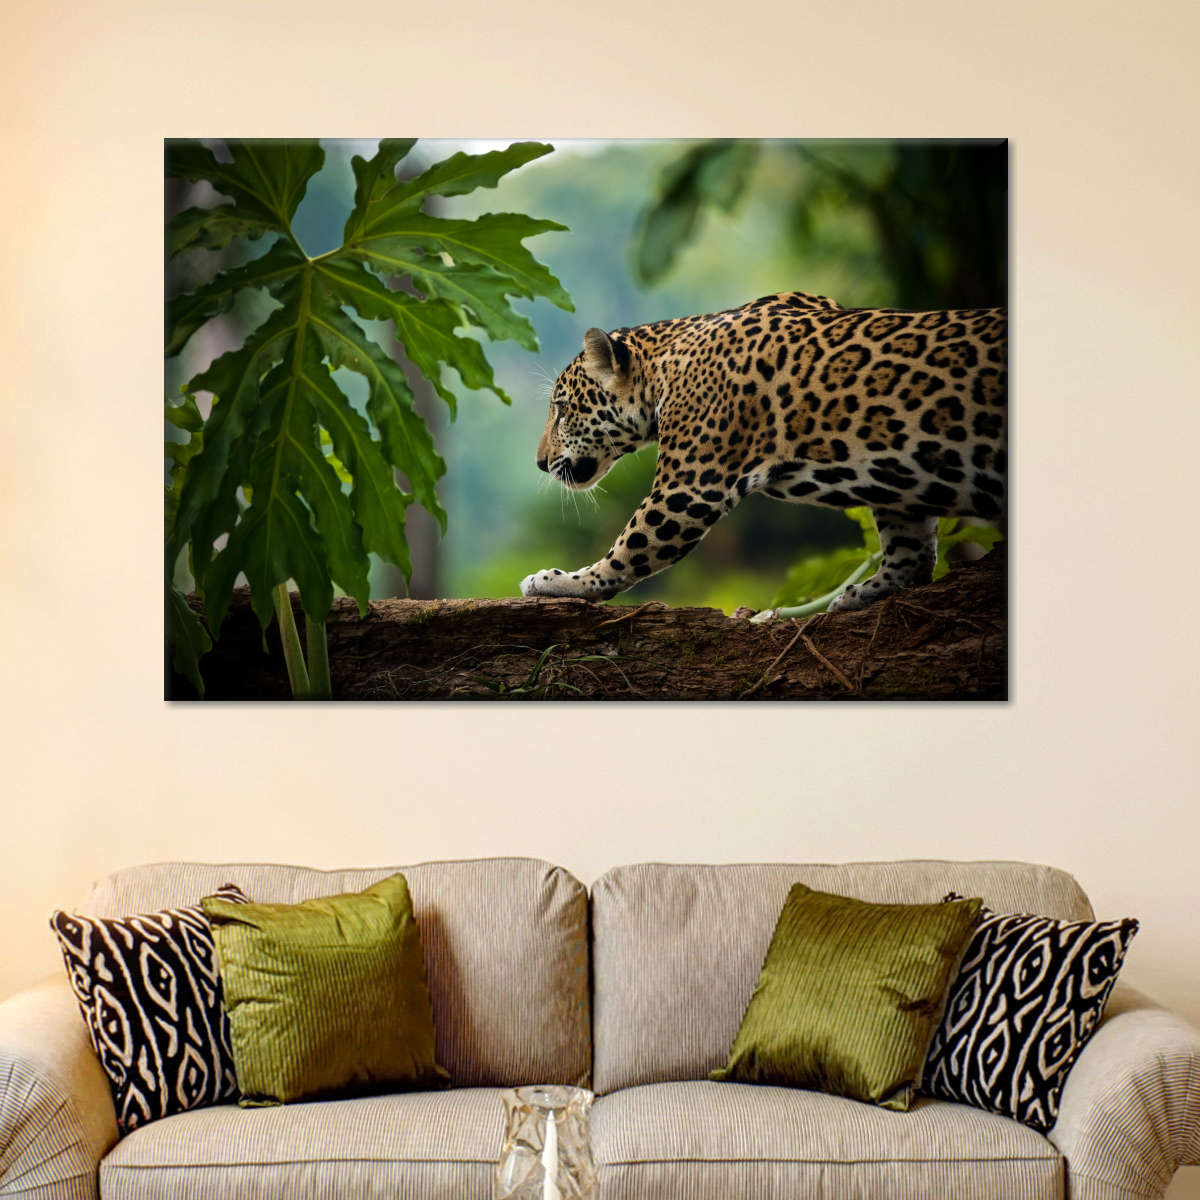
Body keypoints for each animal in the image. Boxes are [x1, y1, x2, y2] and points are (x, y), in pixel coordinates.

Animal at [519, 291, 1006, 614]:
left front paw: (560, 582)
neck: (662, 368)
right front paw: (868, 591)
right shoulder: (898, 487)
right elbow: (912, 548)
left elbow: (629, 549)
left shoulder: (688, 490)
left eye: (562, 409)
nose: (539, 463)